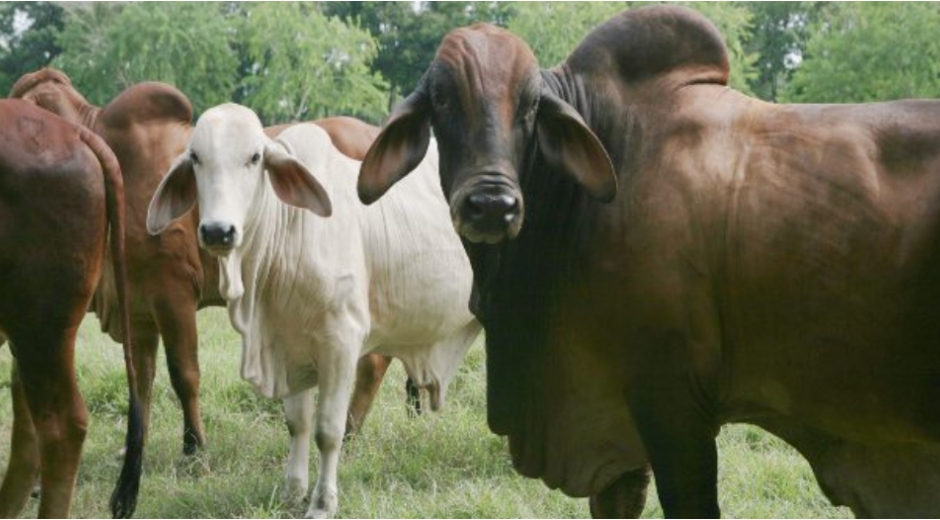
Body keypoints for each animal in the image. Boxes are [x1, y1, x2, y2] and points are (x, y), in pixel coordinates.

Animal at [10, 69, 414, 456]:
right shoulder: (139, 308)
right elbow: (141, 379)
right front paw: (134, 446)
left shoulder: (172, 291)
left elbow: (184, 374)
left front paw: (194, 447)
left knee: (374, 360)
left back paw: (350, 431)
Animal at [147, 103, 484, 516]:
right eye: (196, 157)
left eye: (255, 157)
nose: (217, 231)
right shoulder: (286, 343)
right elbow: (297, 422)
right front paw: (292, 491)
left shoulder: (340, 343)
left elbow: (327, 429)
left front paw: (323, 502)